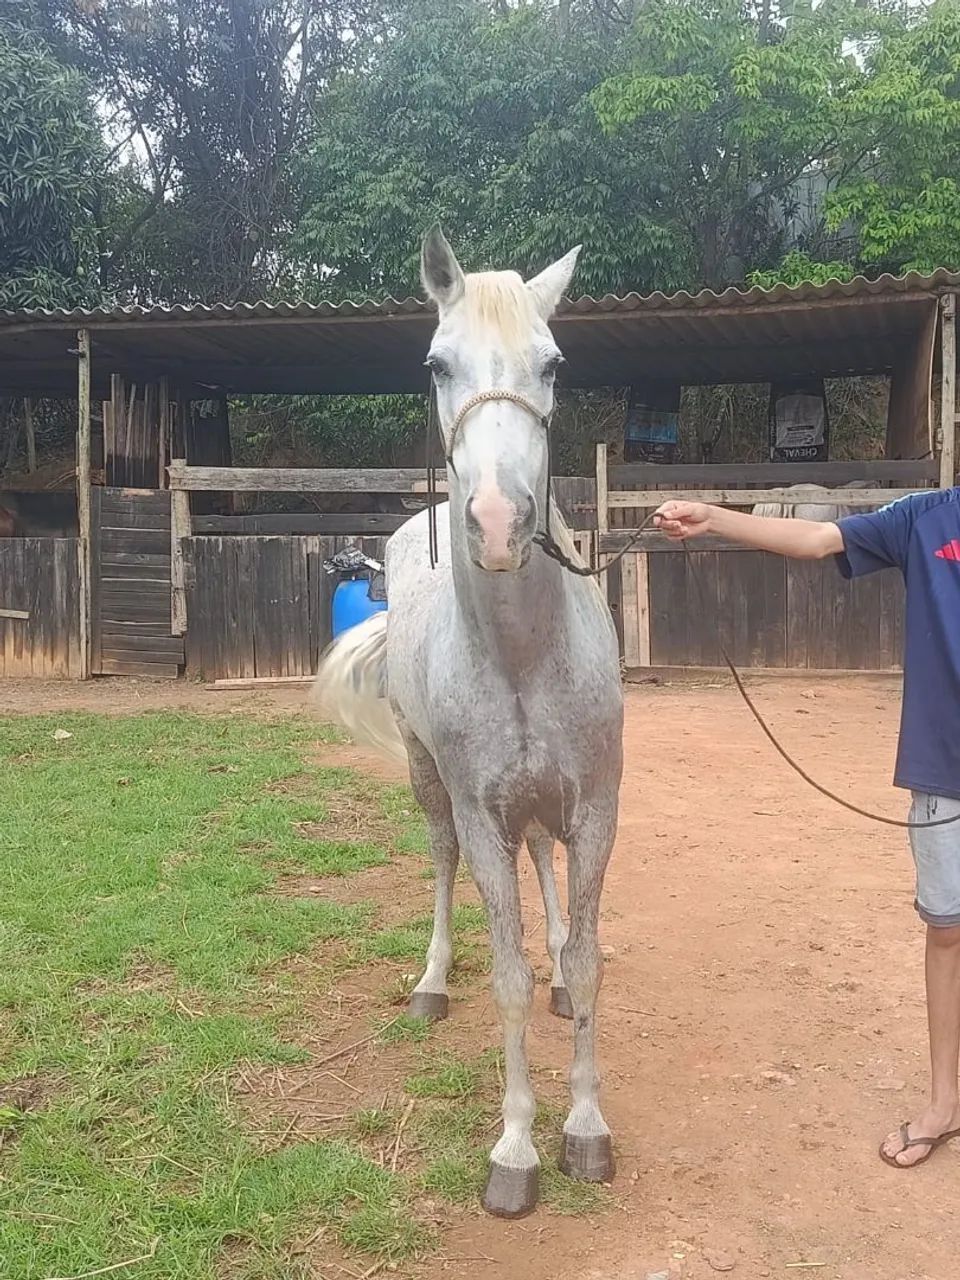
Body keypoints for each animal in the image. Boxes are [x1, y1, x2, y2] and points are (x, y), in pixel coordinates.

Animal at [315, 228, 624, 1218]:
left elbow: (587, 959)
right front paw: (518, 1148)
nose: (495, 522)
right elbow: (506, 977)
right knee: (444, 865)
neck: (523, 656)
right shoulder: (484, 818)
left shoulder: (595, 810)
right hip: (430, 781)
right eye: (435, 363)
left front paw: (586, 1128)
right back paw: (430, 983)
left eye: (553, 363)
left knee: (546, 874)